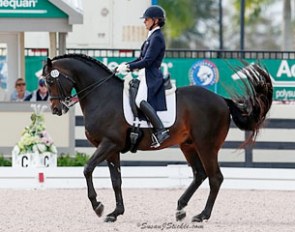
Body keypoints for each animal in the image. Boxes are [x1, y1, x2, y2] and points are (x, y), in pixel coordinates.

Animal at [42, 54, 274, 223]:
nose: (56, 109)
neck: (102, 95)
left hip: (206, 146)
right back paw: (180, 208)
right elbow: (116, 180)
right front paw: (115, 213)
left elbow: (87, 169)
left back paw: (201, 215)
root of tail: (222, 100)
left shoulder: (109, 144)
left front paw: (98, 206)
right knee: (200, 174)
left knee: (215, 177)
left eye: (50, 80)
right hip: (188, 146)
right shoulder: (112, 148)